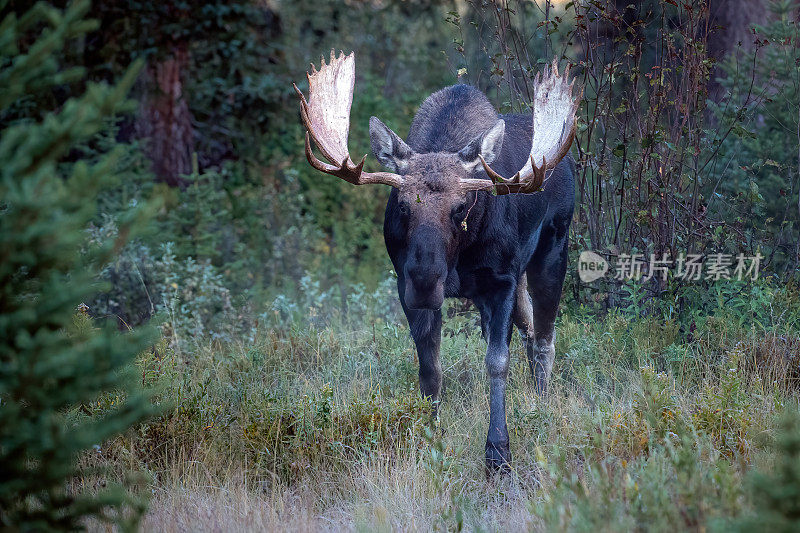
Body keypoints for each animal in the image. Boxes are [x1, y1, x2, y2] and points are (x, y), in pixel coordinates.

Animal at [290, 52, 580, 470]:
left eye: (461, 207)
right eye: (403, 206)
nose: (426, 279)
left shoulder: (501, 280)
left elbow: (497, 362)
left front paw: (498, 453)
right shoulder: (404, 286)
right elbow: (430, 368)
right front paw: (431, 438)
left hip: (553, 251)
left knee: (544, 338)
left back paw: (542, 405)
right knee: (529, 331)